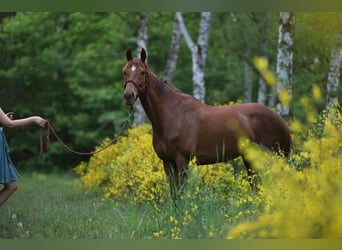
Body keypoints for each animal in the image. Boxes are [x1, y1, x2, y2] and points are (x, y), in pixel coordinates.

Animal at [121, 47, 290, 201]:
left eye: (142, 72)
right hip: (250, 158)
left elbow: (181, 194)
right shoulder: (168, 163)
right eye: (124, 71)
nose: (129, 96)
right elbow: (175, 196)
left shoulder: (182, 162)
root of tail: (279, 118)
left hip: (276, 157)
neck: (173, 115)